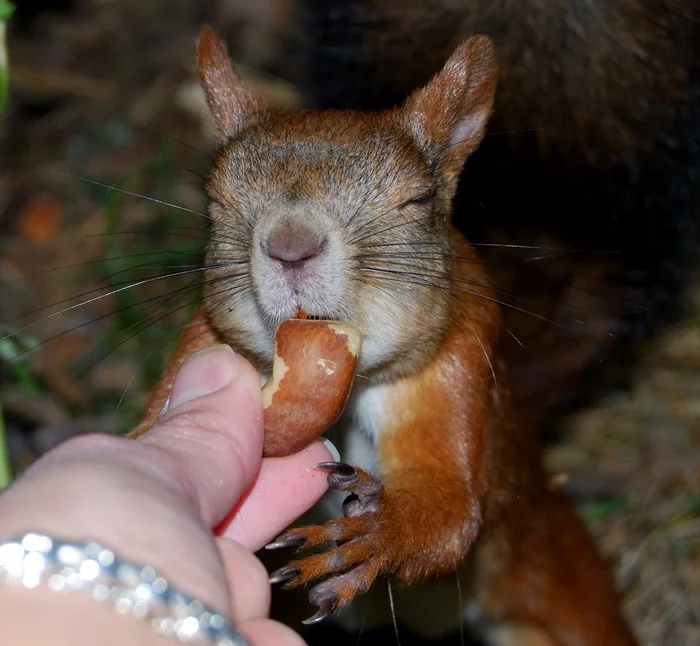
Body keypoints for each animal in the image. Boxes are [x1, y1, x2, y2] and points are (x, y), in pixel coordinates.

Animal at [131, 27, 640, 644]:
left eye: (417, 200)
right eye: (214, 202)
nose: (290, 247)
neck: (350, 388)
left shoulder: (457, 365)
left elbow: (450, 507)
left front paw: (380, 533)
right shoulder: (200, 343)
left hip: (550, 566)